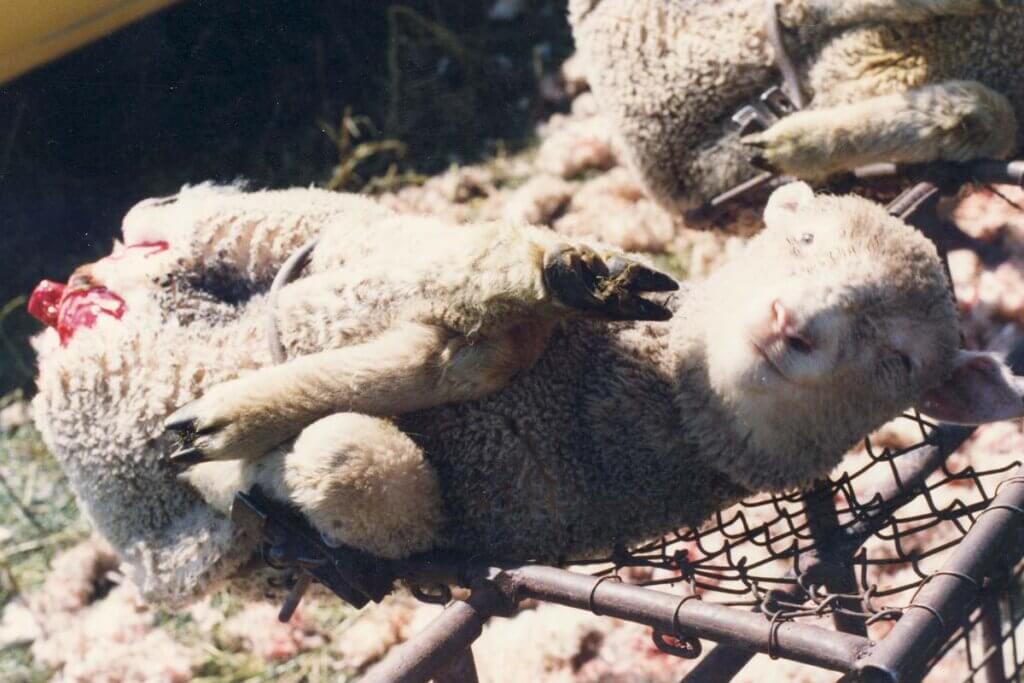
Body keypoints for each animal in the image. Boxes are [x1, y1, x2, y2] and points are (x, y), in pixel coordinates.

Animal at [29, 179, 1024, 606]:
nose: (790, 324)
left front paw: (239, 448)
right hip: (283, 214)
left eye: (899, 360)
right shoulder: (419, 277)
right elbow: (456, 314)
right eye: (806, 240)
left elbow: (351, 453)